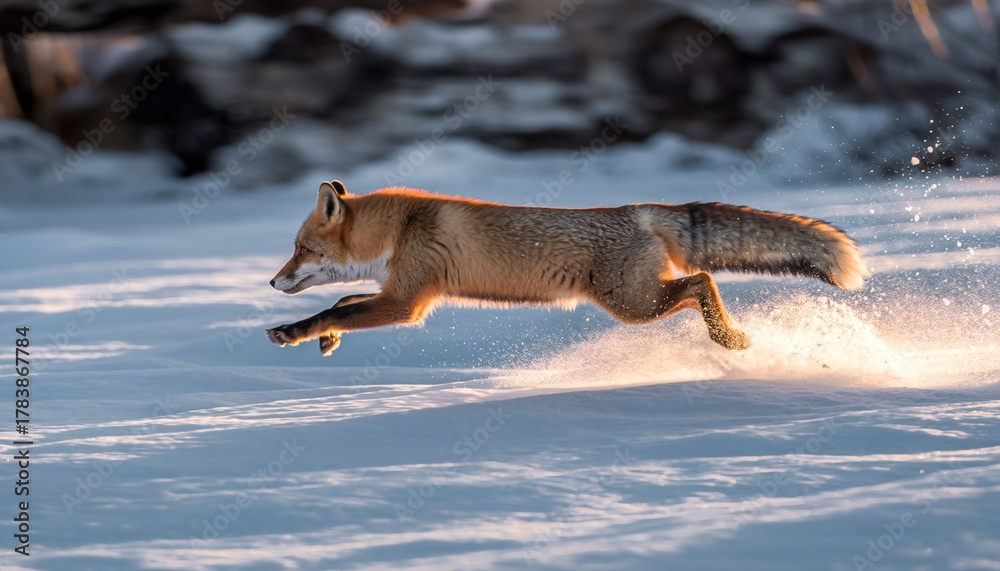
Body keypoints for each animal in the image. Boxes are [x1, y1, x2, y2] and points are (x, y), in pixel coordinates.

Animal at [266, 181, 867, 355]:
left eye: (300, 249)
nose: (272, 281)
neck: (401, 228)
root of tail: (640, 210)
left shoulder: (407, 301)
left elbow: (332, 307)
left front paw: (296, 331)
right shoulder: (397, 292)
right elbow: (344, 302)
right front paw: (328, 338)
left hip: (633, 305)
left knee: (703, 279)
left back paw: (728, 337)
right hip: (638, 300)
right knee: (701, 280)